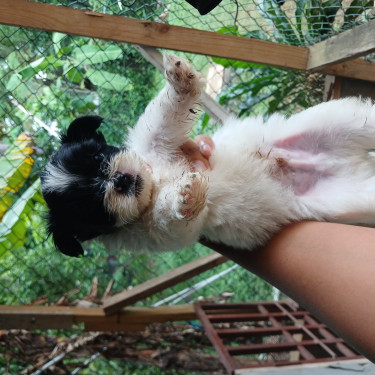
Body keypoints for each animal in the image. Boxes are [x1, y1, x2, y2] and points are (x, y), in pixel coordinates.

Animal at [41, 53, 375, 258]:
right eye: (92, 205)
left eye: (99, 159)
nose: (120, 179)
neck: (155, 180)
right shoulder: (161, 230)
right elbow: (171, 214)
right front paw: (186, 193)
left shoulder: (155, 143)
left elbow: (163, 118)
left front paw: (180, 78)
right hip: (349, 195)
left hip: (337, 122)